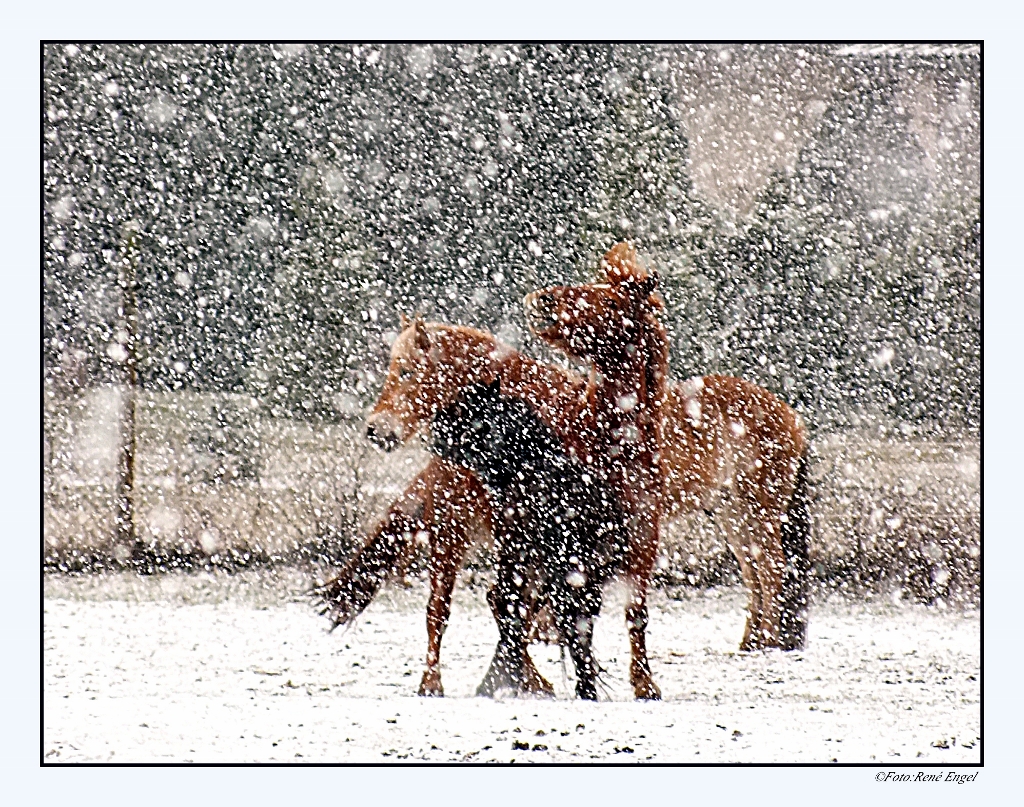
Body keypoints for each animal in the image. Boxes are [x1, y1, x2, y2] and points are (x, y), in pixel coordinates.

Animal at [315, 242, 811, 696]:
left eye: (405, 371)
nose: (377, 430)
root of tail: (791, 416)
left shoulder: (630, 535)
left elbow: (619, 612)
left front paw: (637, 684)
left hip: (753, 512)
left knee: (768, 570)